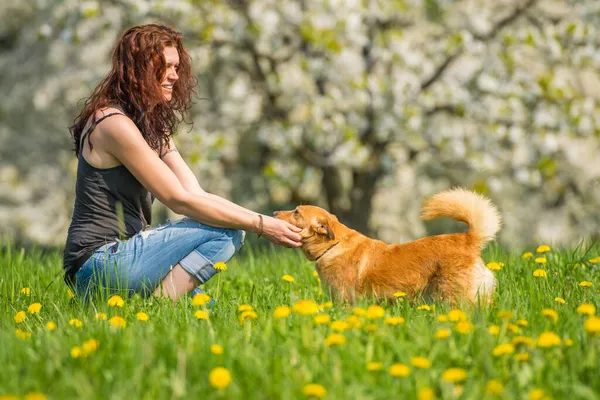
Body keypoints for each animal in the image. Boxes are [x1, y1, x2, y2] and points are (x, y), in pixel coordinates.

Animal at [276, 188, 502, 304]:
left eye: (296, 212)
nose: (275, 213)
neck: (333, 245)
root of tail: (468, 240)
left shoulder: (345, 300)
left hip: (454, 297)